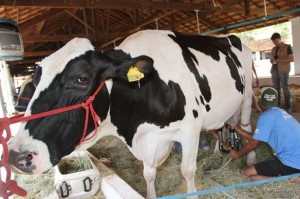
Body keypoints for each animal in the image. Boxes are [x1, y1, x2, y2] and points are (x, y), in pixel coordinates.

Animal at [7, 29, 253, 199]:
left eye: (81, 79)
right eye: (35, 80)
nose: (16, 155)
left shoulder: (190, 130)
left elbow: (187, 171)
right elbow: (149, 173)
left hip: (248, 94)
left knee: (246, 126)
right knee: (225, 125)